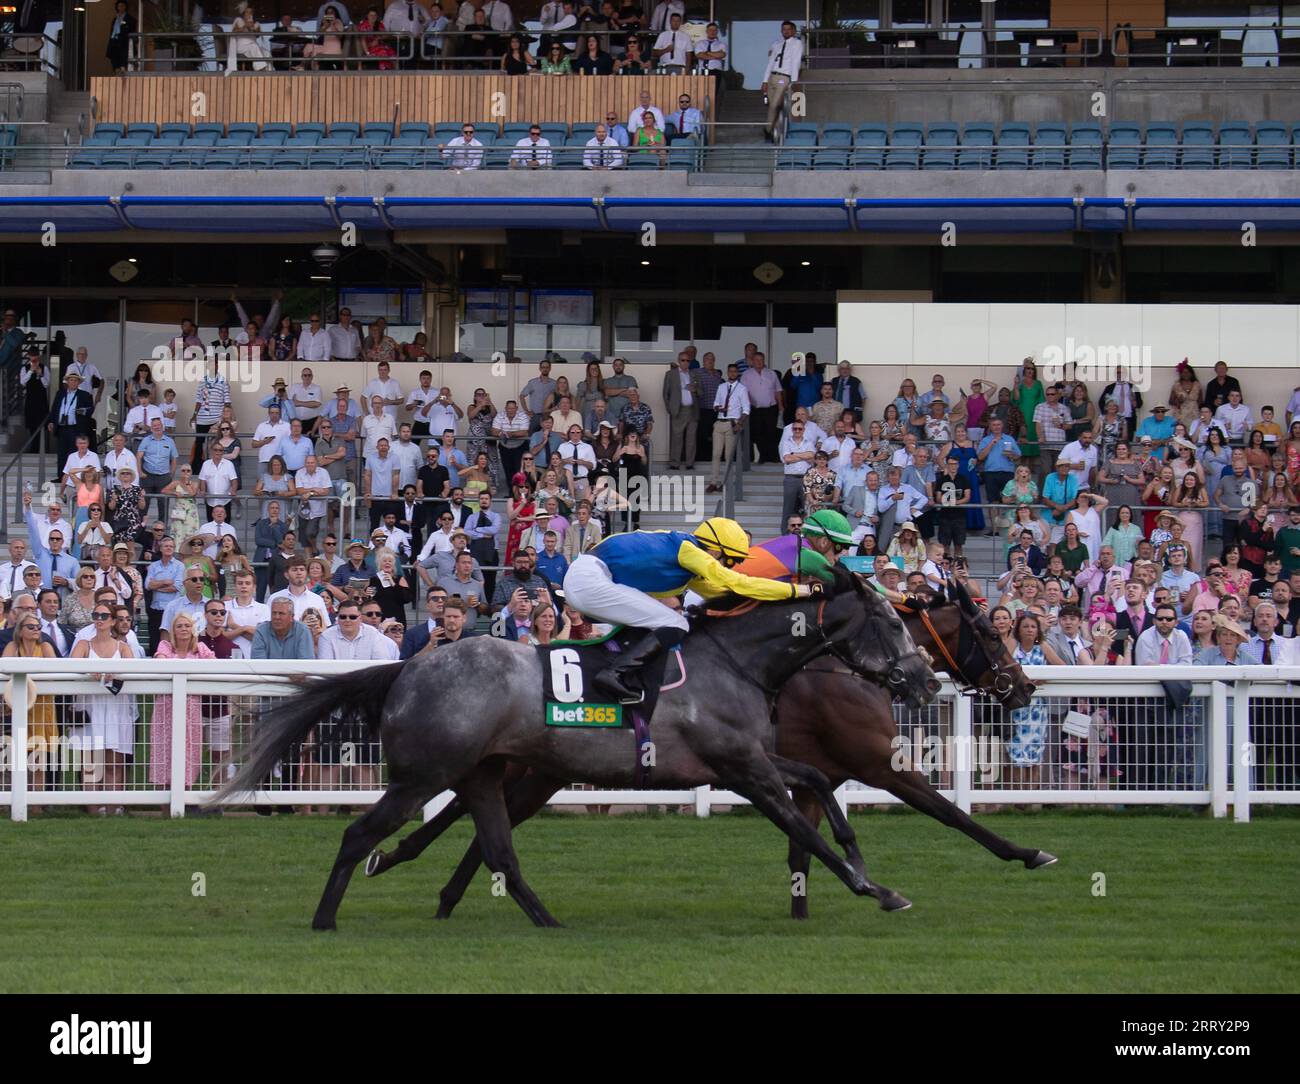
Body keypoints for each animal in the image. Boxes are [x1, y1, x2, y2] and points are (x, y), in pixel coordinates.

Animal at [217, 566, 940, 930]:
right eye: (889, 622)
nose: (928, 679)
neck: (737, 660)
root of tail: (407, 668)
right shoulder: (743, 768)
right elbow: (802, 823)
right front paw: (873, 888)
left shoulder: (751, 762)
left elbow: (817, 786)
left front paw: (862, 864)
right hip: (424, 775)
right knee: (361, 835)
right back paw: (325, 919)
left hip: (481, 773)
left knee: (497, 845)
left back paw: (542, 919)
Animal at [366, 578, 1057, 922]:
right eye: (990, 631)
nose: (1023, 686)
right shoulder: (864, 764)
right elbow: (949, 813)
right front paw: (1026, 853)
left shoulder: (796, 766)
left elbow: (812, 824)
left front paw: (814, 895)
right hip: (528, 766)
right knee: (477, 812)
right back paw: (408, 866)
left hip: (536, 767)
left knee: (484, 814)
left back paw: (432, 882)